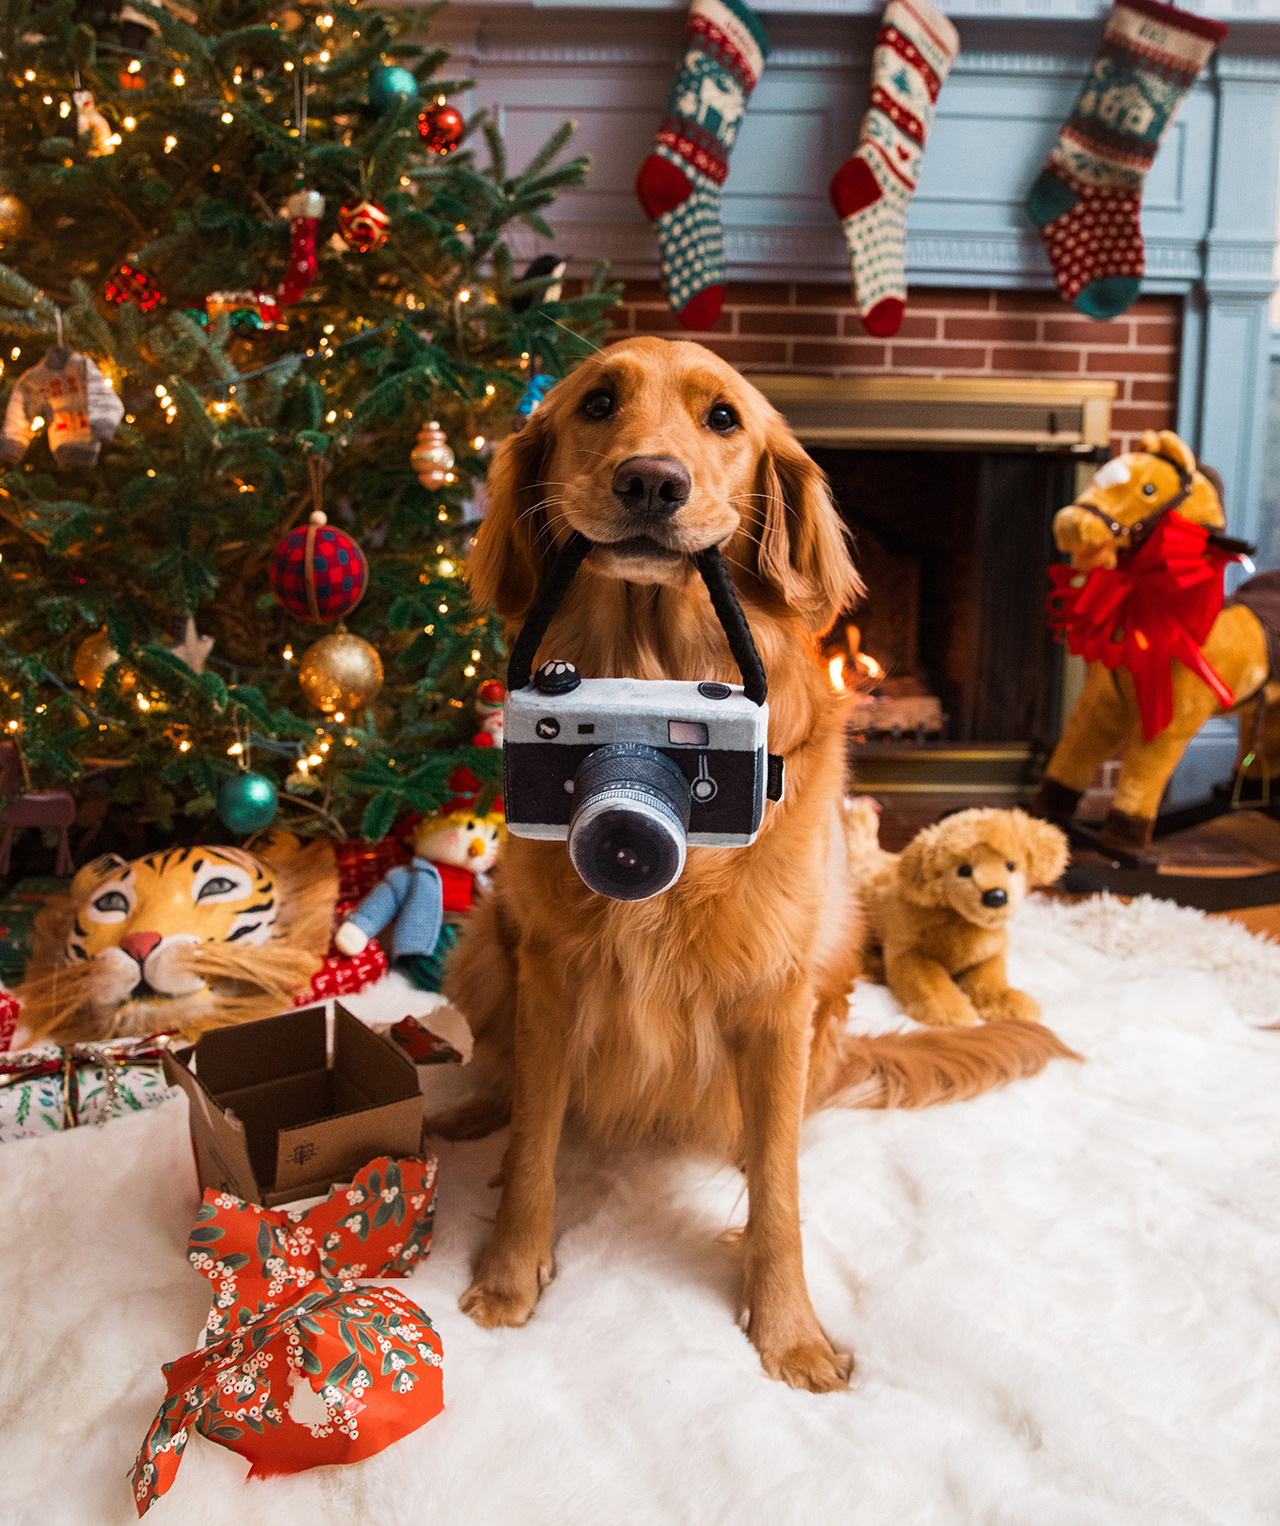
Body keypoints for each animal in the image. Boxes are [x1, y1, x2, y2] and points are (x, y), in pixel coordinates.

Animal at [848, 805, 1074, 1031]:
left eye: (1010, 865)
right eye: (964, 870)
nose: (996, 896)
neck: (962, 920)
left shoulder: (987, 958)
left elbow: (991, 980)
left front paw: (1008, 1004)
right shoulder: (909, 954)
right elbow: (930, 983)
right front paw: (948, 1010)